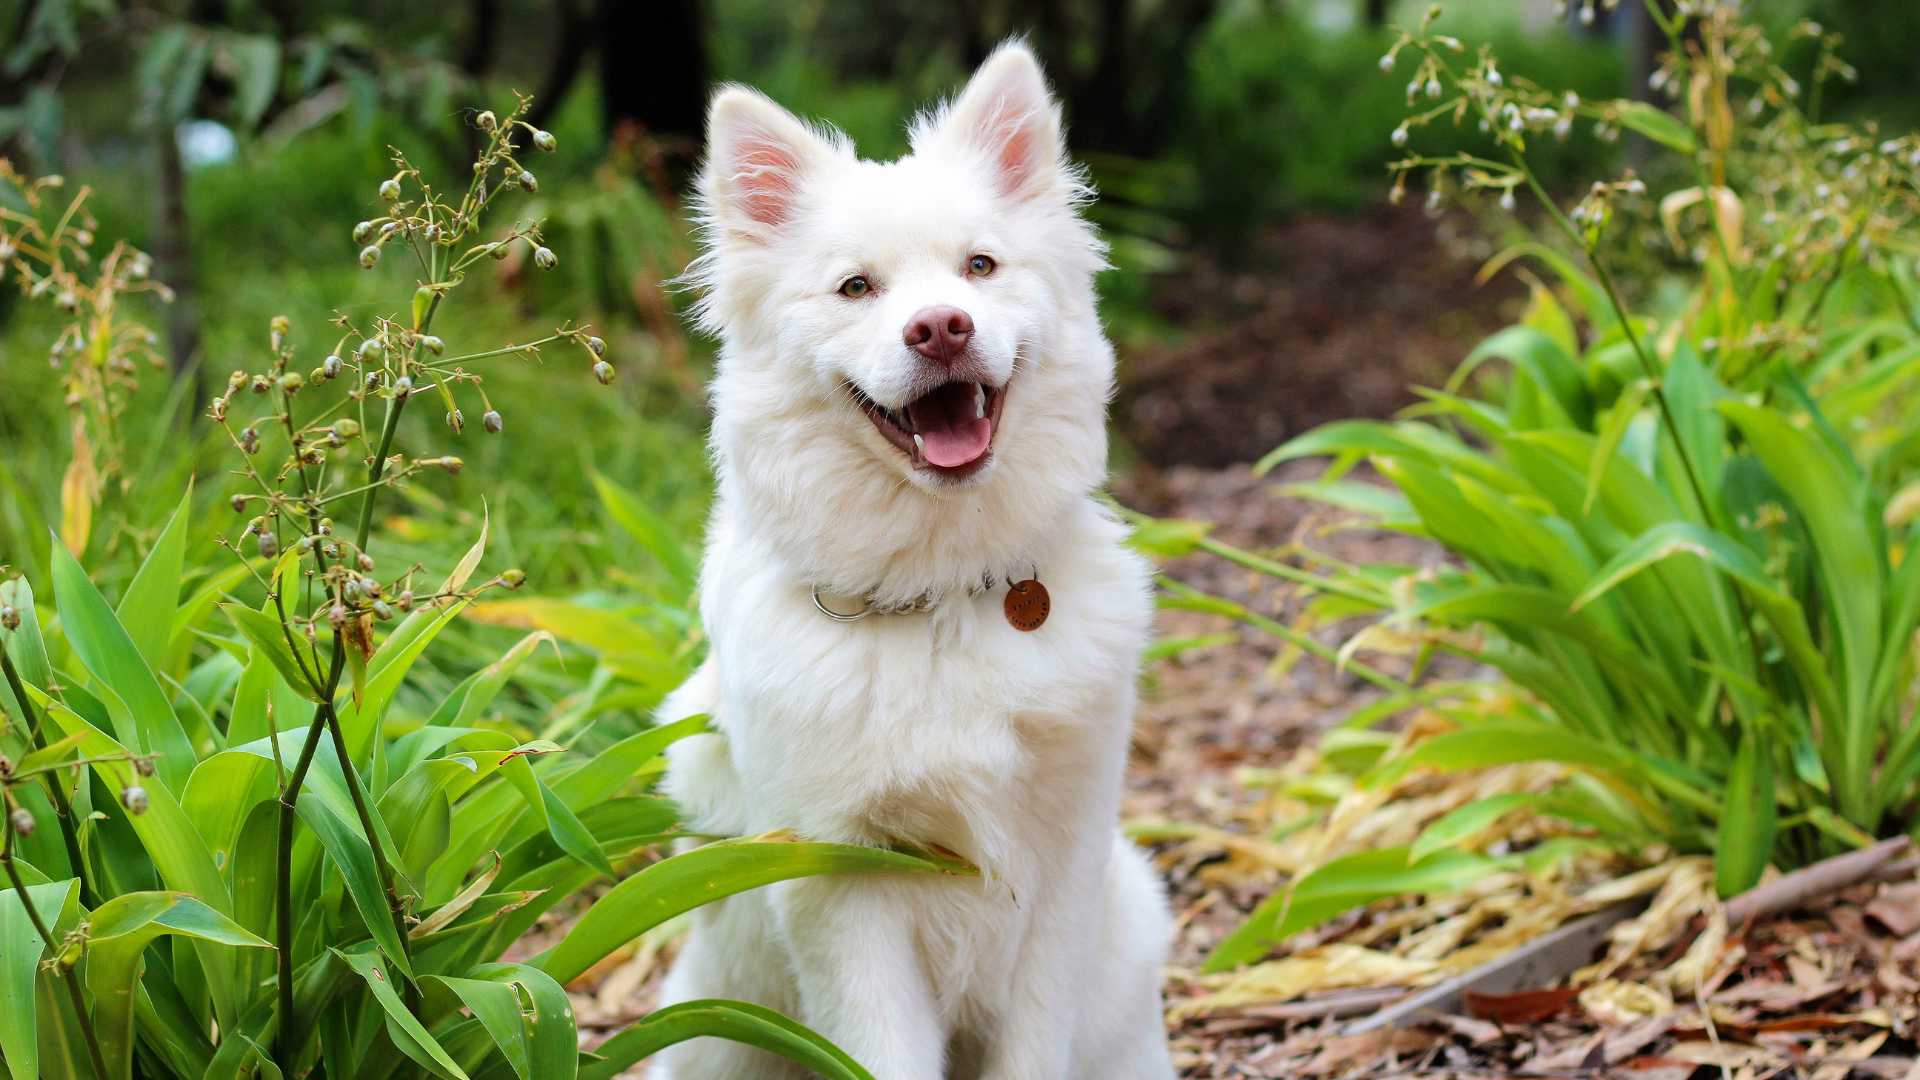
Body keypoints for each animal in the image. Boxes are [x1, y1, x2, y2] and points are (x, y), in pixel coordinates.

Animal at [656, 42, 1167, 1076]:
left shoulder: (1062, 867)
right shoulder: (842, 885)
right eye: (857, 288)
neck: (940, 595)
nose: (940, 326)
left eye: (980, 267)